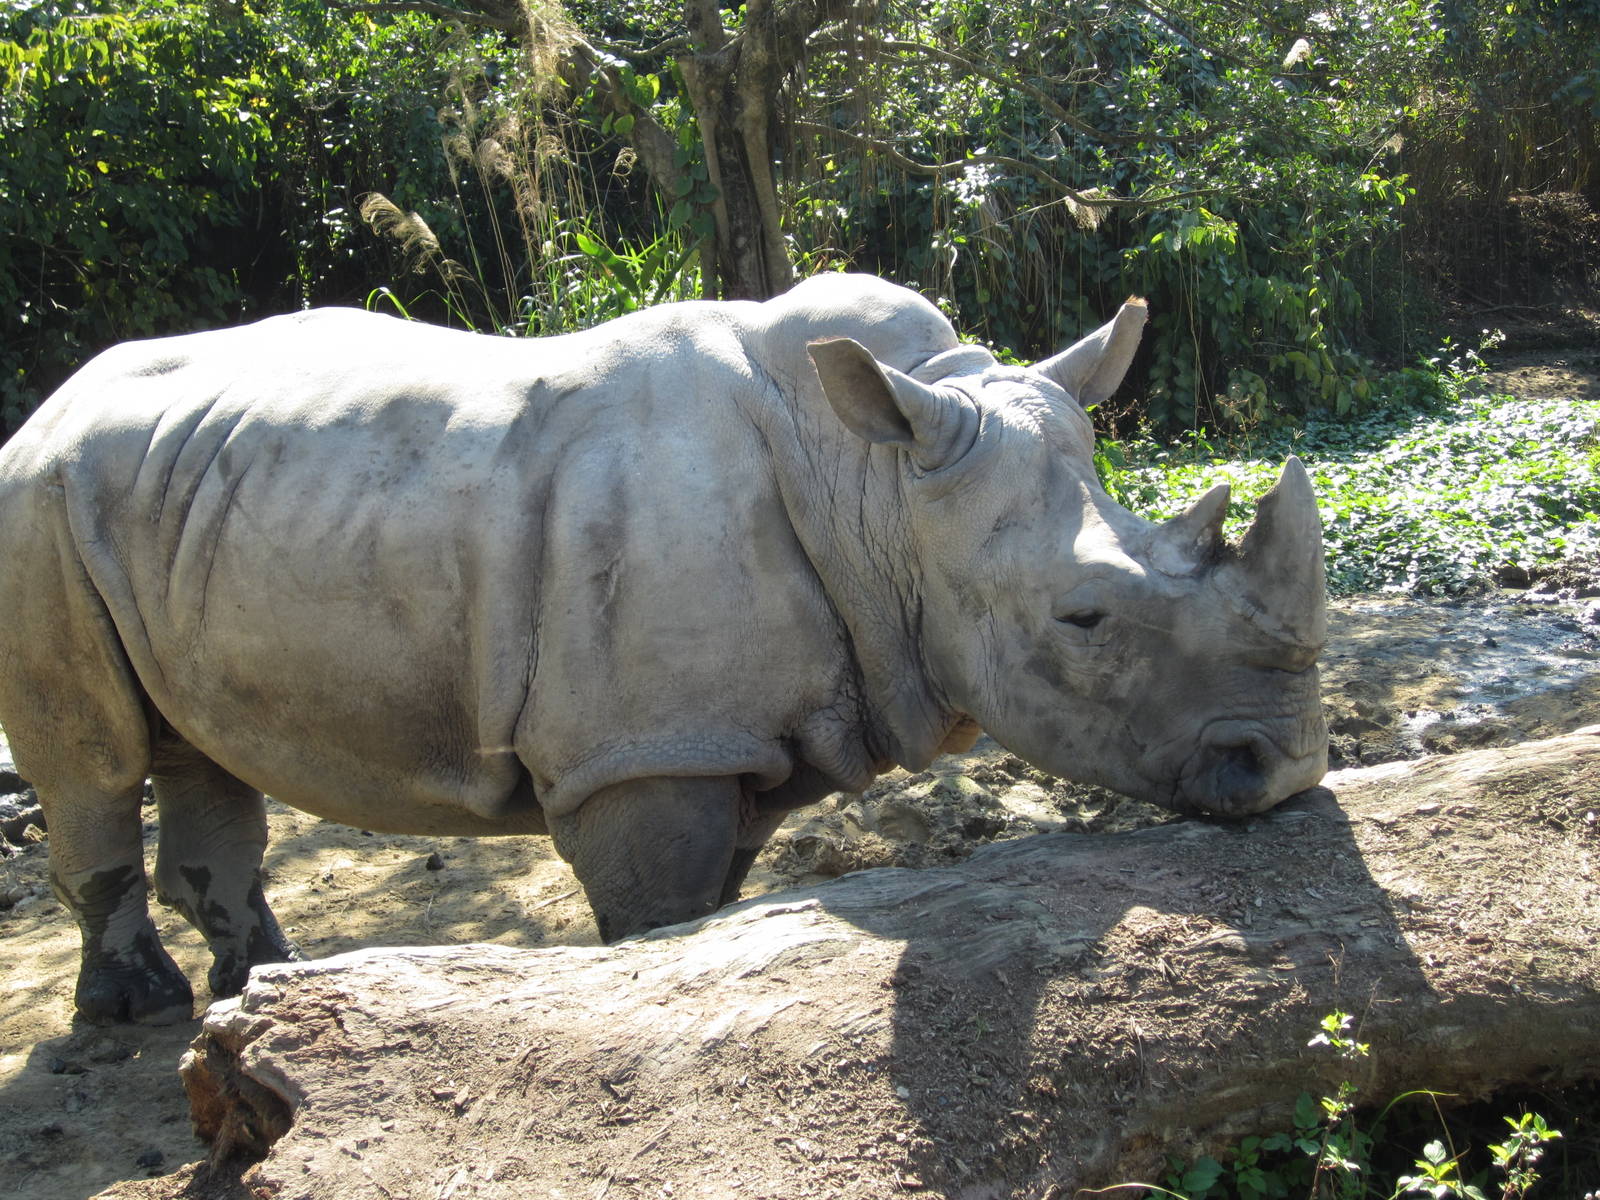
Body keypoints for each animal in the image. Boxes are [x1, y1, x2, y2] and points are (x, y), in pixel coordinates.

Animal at [0, 274, 1327, 1024]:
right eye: (1083, 620)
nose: (1292, 768)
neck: (877, 486)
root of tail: (46, 405)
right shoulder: (640, 751)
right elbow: (658, 912)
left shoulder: (717, 732)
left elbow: (709, 905)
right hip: (35, 503)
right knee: (94, 757)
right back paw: (138, 1014)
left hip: (175, 495)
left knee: (193, 744)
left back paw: (261, 989)